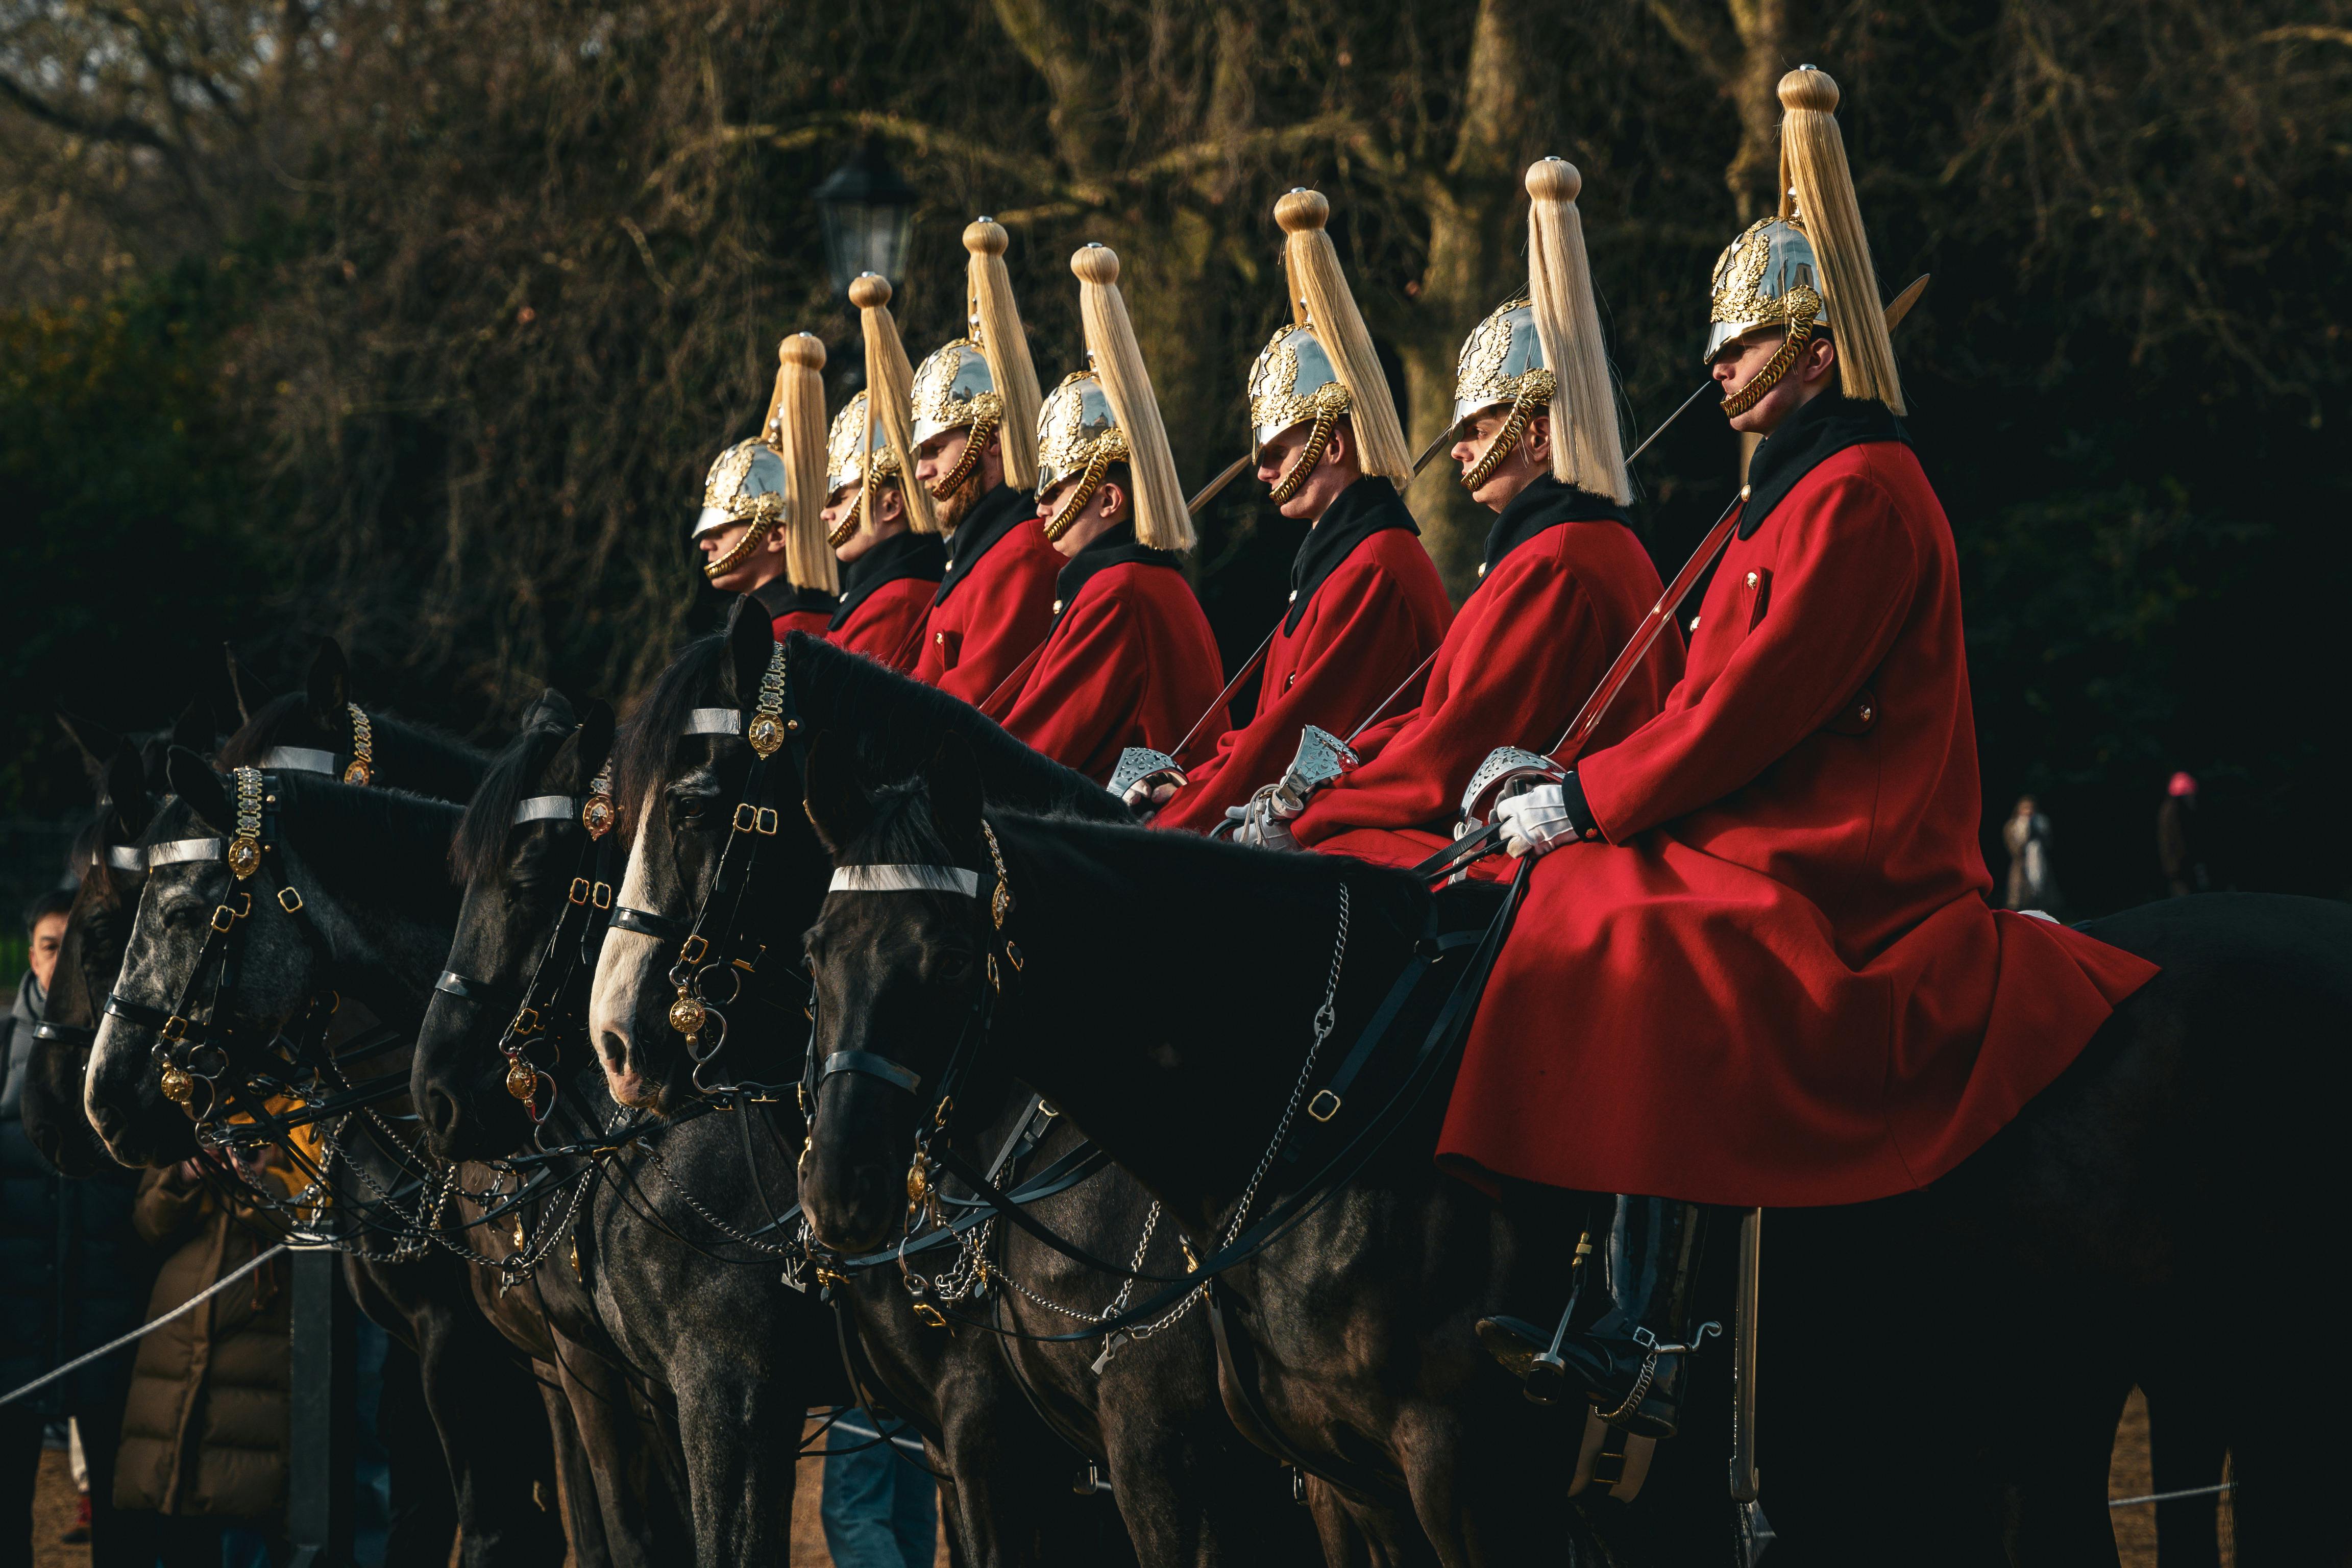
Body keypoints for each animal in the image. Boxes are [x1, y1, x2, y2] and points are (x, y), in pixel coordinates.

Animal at [795, 752, 2352, 1568]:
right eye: (820, 943)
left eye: (951, 956)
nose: (838, 1194)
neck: (1325, 1101)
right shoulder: (1329, 1484)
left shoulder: (1426, 1468)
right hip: (2068, 1397)